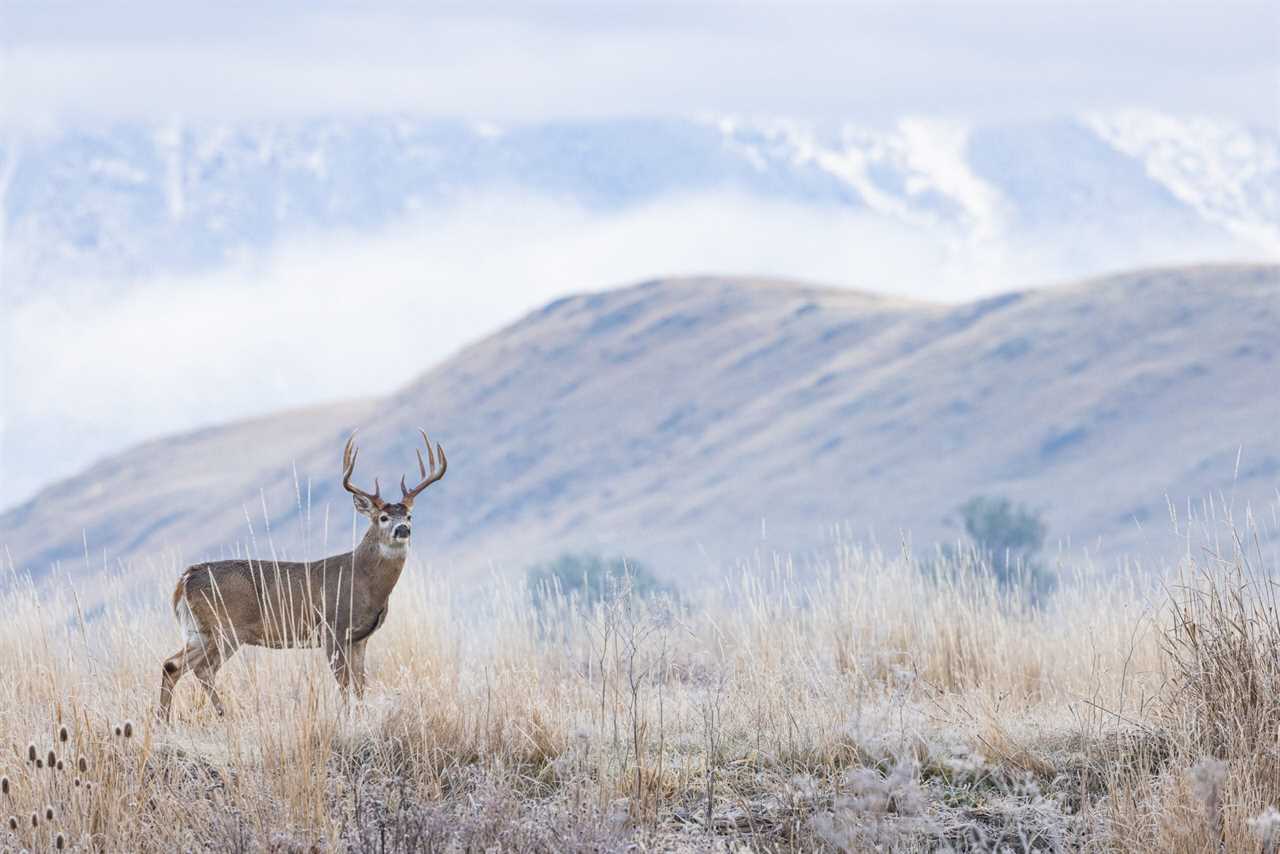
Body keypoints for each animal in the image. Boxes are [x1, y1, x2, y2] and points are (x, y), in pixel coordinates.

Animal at [157, 435, 448, 722]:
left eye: (409, 515)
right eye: (383, 517)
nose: (403, 529)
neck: (363, 581)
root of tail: (186, 578)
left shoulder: (360, 638)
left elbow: (360, 685)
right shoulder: (332, 628)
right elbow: (344, 685)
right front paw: (347, 720)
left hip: (200, 631)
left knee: (172, 664)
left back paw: (163, 721)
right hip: (227, 628)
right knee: (201, 668)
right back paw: (221, 715)